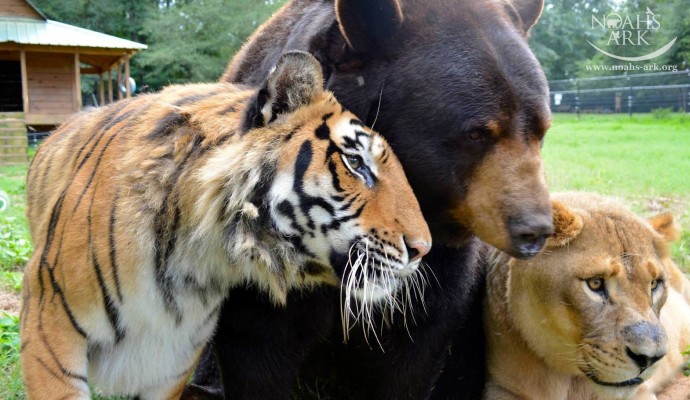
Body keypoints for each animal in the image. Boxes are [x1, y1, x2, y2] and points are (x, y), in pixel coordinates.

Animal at [484, 192, 688, 398]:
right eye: (595, 283)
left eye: (654, 284)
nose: (649, 359)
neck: (568, 381)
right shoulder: (500, 387)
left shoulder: (641, 392)